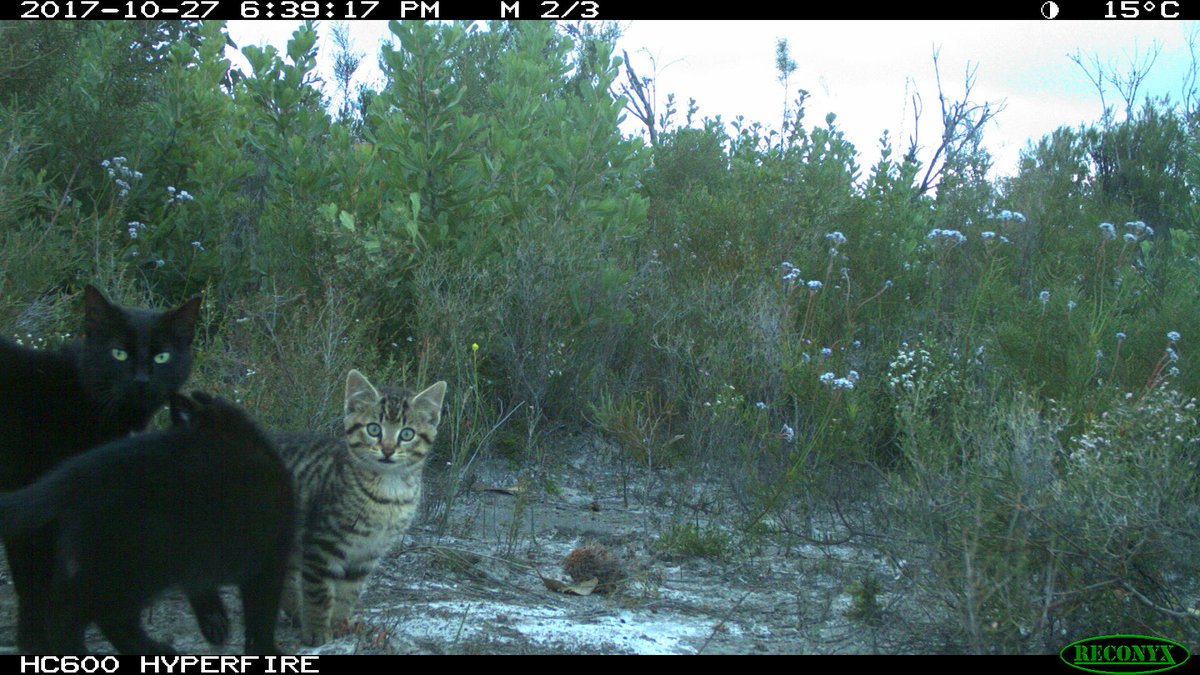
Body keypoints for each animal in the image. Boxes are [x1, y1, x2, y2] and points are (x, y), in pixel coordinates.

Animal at [0, 284, 228, 653]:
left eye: (162, 357)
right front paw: (41, 647)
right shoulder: (37, 512)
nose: (141, 380)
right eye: (118, 353)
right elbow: (37, 588)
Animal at [0, 389, 295, 653]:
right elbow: (261, 614)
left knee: (100, 616)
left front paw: (214, 622)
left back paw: (151, 649)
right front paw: (266, 650)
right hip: (130, 569)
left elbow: (202, 588)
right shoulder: (269, 558)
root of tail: (73, 475)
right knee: (68, 617)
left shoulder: (198, 554)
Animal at [274, 369, 448, 643]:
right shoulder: (321, 543)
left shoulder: (369, 552)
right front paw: (317, 632)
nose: (387, 450)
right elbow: (319, 592)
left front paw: (338, 625)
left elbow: (348, 593)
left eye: (406, 434)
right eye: (374, 429)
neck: (389, 494)